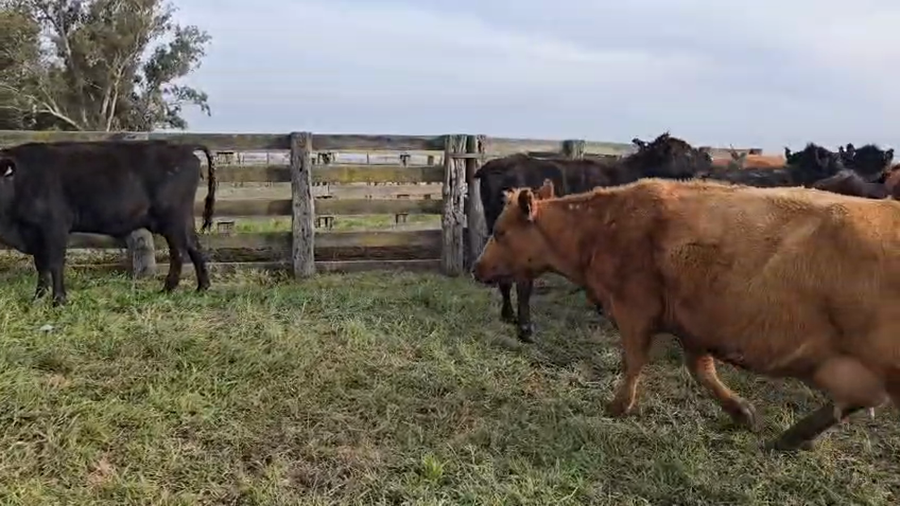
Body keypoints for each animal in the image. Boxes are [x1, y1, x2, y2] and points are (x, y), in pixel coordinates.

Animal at [0, 140, 217, 306]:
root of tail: (183, 148)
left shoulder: (55, 228)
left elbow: (54, 263)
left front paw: (59, 300)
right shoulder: (35, 234)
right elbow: (41, 265)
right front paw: (37, 298)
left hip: (172, 219)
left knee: (178, 251)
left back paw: (168, 288)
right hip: (183, 219)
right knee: (194, 246)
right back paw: (201, 287)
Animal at [471, 177, 900, 452]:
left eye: (500, 232)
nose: (476, 267)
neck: (603, 227)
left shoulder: (634, 309)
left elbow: (634, 361)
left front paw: (618, 406)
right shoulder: (694, 325)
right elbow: (702, 371)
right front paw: (742, 411)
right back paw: (791, 437)